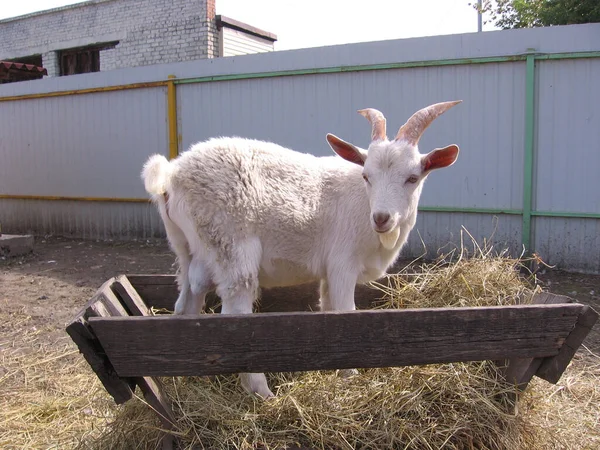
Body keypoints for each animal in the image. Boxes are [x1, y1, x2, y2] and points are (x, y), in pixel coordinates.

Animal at [143, 101, 462, 398]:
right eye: (366, 176)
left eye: (412, 178)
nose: (382, 218)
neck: (363, 204)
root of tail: (170, 175)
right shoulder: (343, 263)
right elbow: (347, 312)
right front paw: (351, 377)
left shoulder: (328, 273)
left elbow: (329, 310)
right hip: (231, 245)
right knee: (235, 311)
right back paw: (262, 393)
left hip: (186, 249)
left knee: (186, 303)